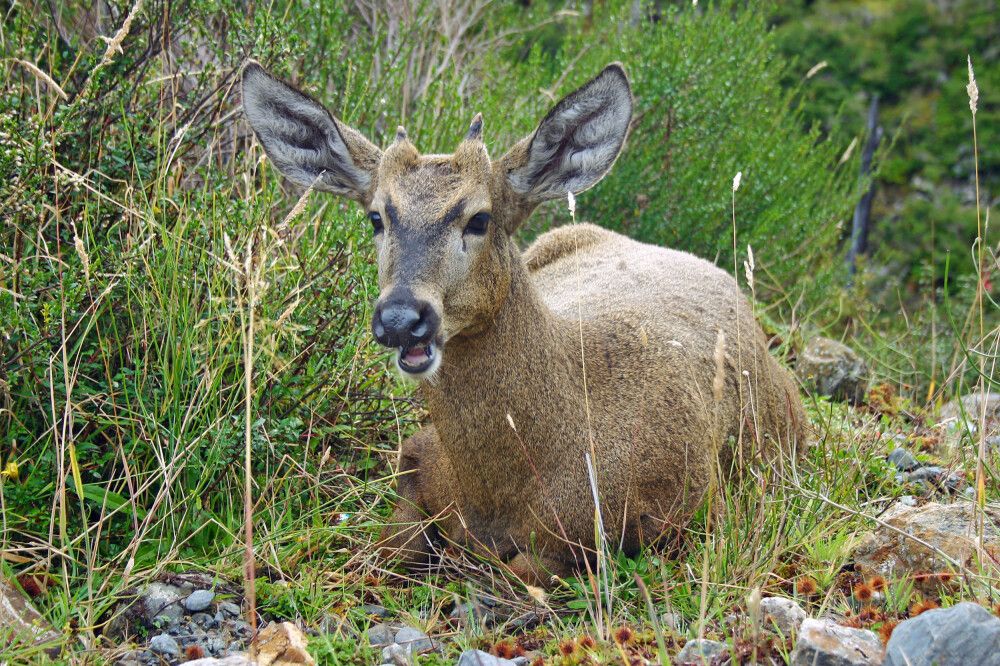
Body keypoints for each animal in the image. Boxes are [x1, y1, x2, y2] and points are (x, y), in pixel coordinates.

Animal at [244, 61, 812, 580]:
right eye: (376, 217)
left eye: (479, 218)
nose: (401, 318)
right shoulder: (418, 456)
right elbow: (390, 545)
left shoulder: (677, 513)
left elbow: (523, 570)